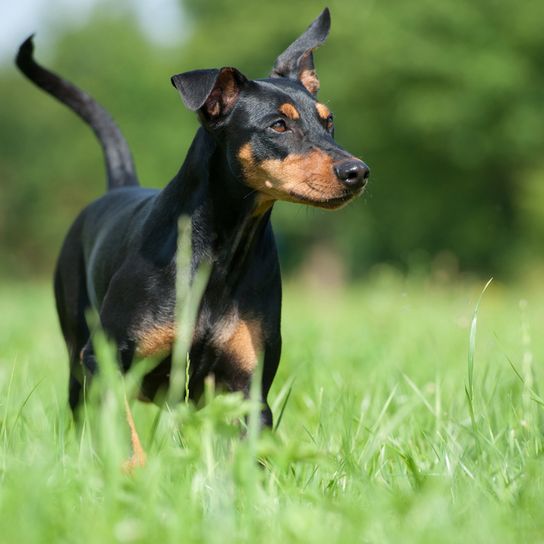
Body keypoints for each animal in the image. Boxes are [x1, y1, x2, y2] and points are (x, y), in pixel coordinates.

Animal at [14, 7, 370, 424]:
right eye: (278, 125)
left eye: (328, 122)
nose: (357, 171)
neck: (220, 252)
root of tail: (119, 186)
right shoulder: (106, 364)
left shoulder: (249, 390)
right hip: (77, 357)